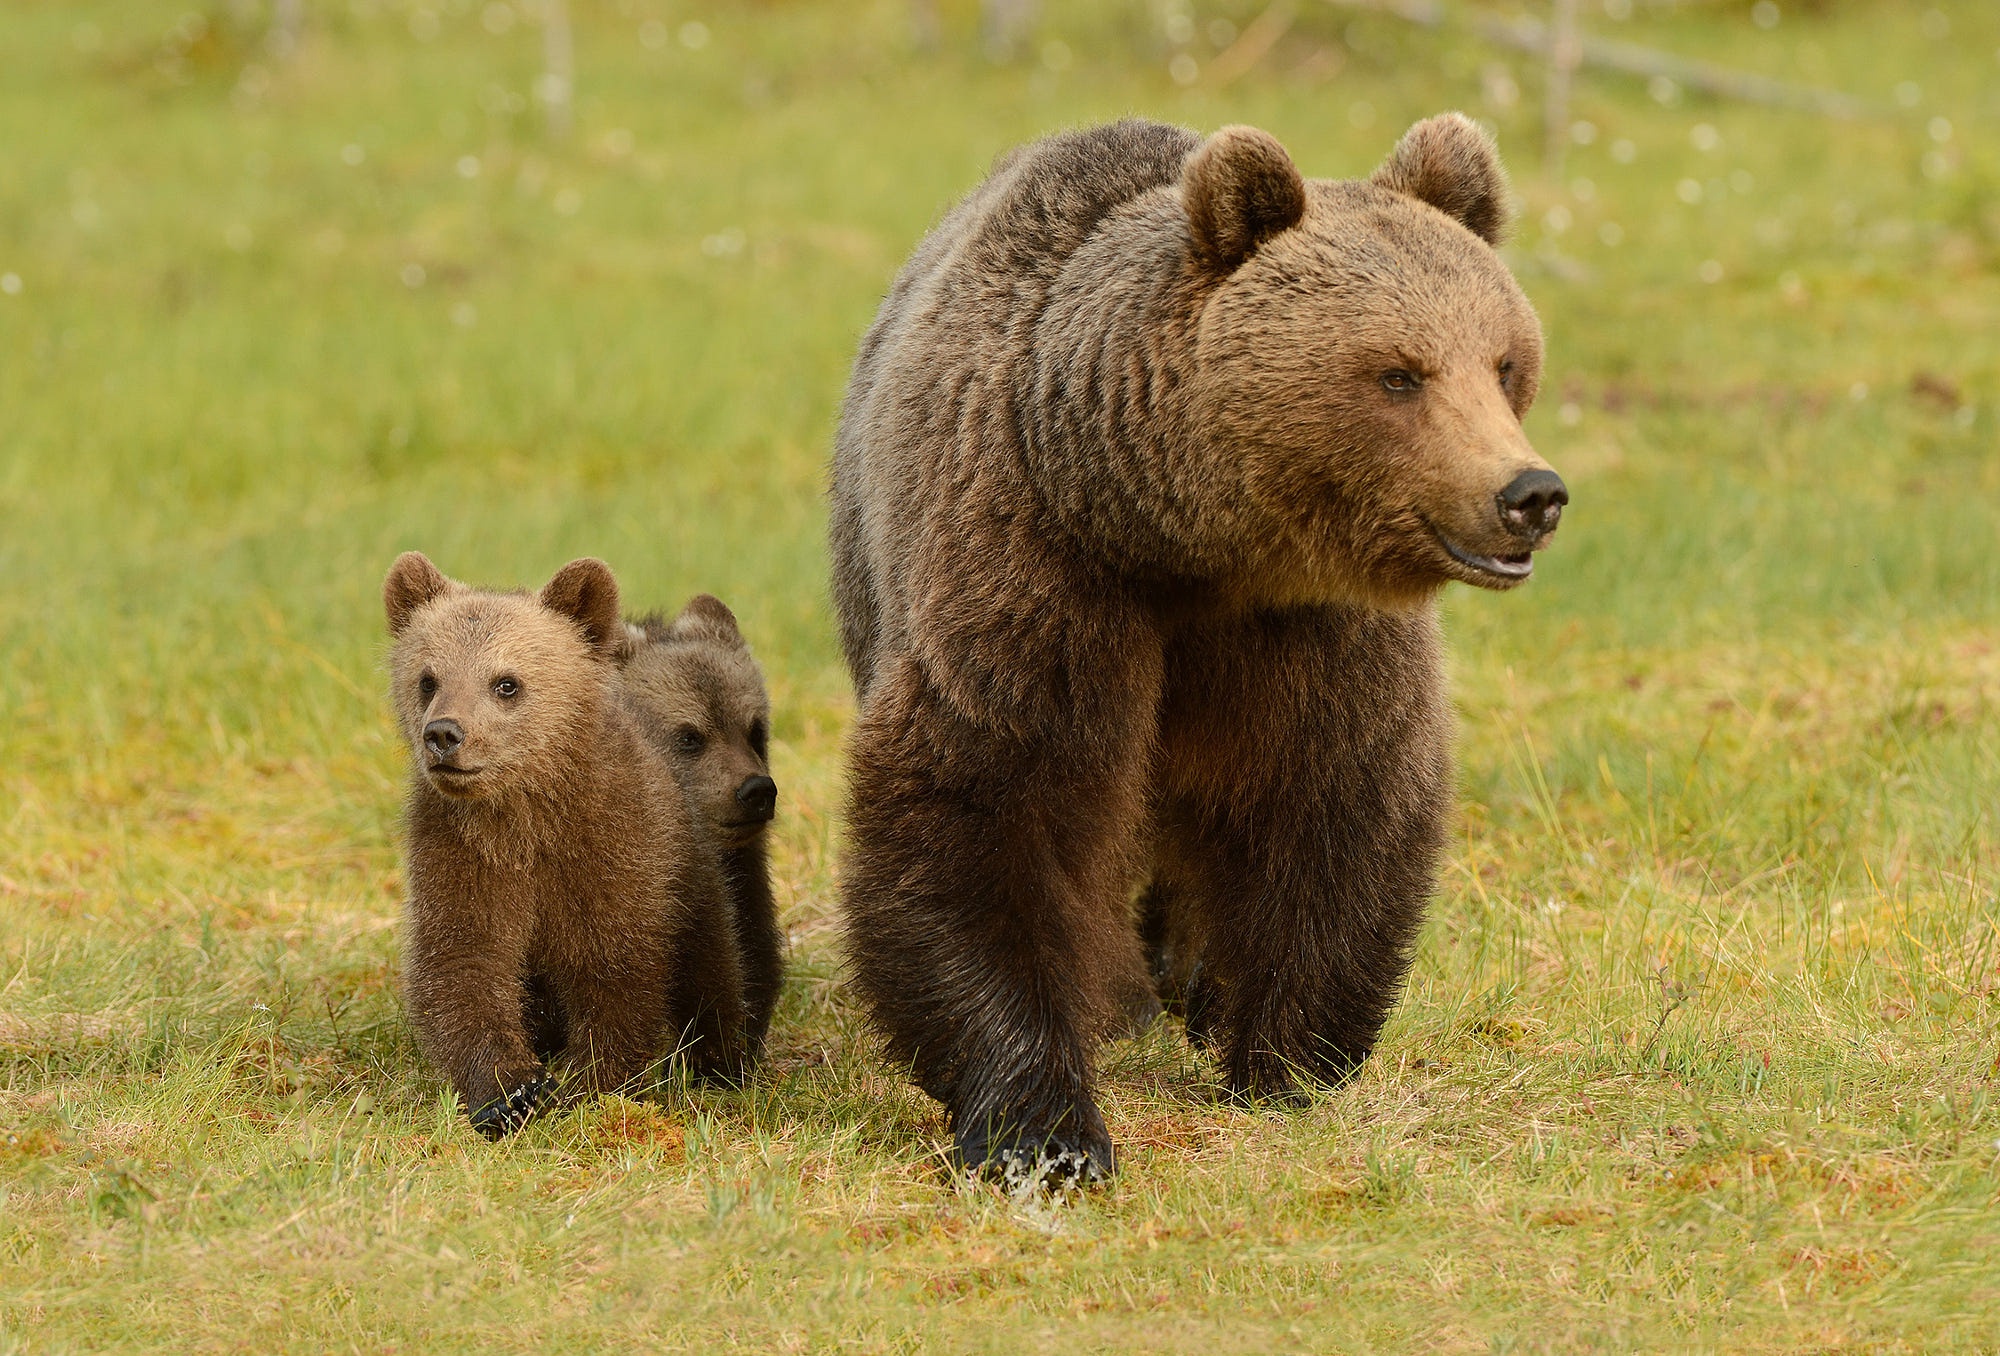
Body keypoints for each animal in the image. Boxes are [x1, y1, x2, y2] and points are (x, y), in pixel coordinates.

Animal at [828, 117, 1560, 1184]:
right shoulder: (1032, 567)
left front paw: (1282, 1057)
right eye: (1398, 373)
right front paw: (1044, 1127)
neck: (1187, 548)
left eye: (1504, 362)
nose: (1529, 494)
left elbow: (1337, 795)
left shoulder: (1313, 630)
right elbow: (985, 794)